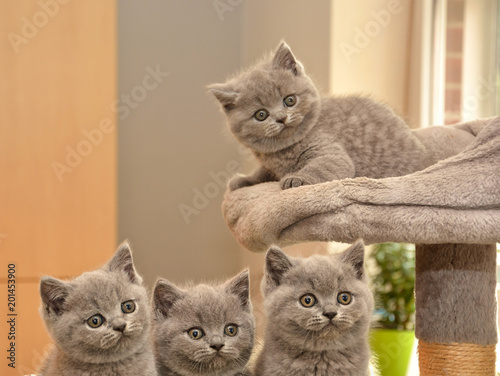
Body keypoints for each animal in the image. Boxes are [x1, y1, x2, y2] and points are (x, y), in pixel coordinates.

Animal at [211, 41, 484, 191]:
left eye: (289, 100)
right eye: (261, 115)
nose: (280, 118)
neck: (281, 153)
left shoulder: (332, 153)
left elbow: (324, 166)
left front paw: (296, 178)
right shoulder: (269, 164)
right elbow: (262, 174)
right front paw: (244, 180)